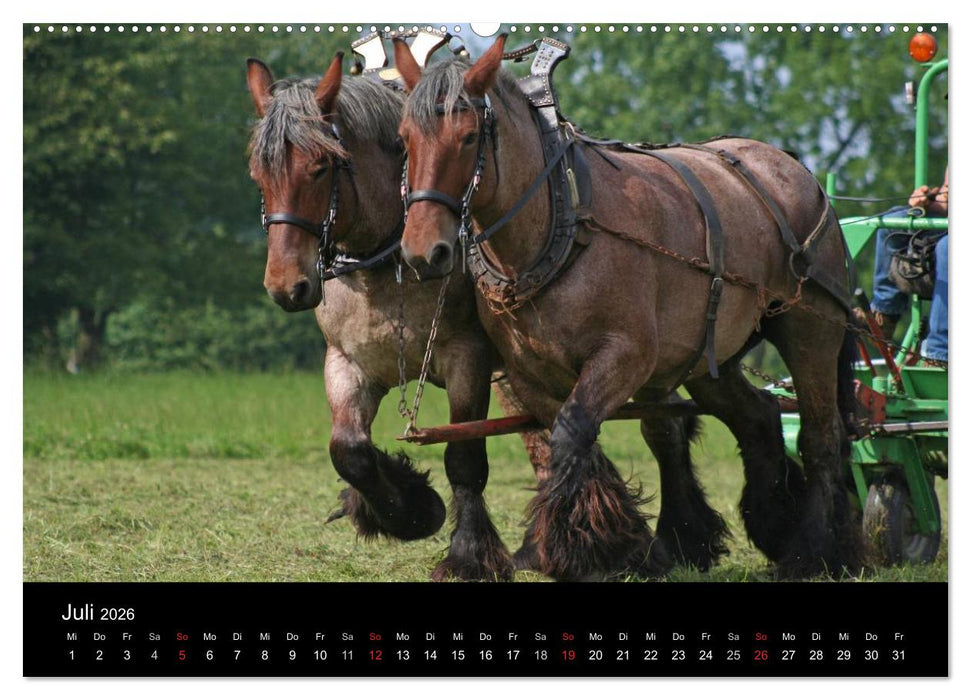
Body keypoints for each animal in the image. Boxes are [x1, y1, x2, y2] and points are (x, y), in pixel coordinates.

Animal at [246, 52, 552, 581]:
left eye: (320, 167)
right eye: (258, 174)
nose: (286, 287)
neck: (385, 264)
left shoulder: (468, 360)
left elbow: (464, 457)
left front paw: (467, 553)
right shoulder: (347, 364)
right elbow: (349, 451)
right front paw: (406, 509)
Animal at [393, 36, 863, 581]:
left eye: (469, 137)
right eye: (405, 139)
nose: (423, 252)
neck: (560, 225)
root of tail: (797, 170)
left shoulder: (626, 356)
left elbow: (572, 435)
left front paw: (586, 549)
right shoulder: (529, 374)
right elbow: (574, 444)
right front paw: (622, 545)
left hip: (810, 331)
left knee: (821, 436)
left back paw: (813, 551)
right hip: (710, 356)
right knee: (760, 417)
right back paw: (771, 523)